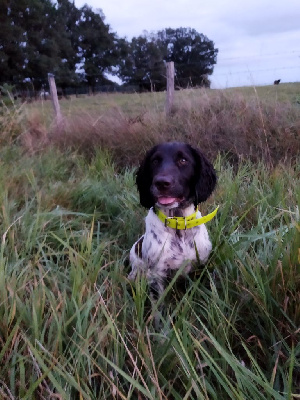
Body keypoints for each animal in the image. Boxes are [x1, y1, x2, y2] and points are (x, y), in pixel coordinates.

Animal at [129, 142, 218, 298]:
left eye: (183, 160)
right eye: (155, 161)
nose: (161, 183)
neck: (178, 221)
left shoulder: (200, 265)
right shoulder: (156, 274)